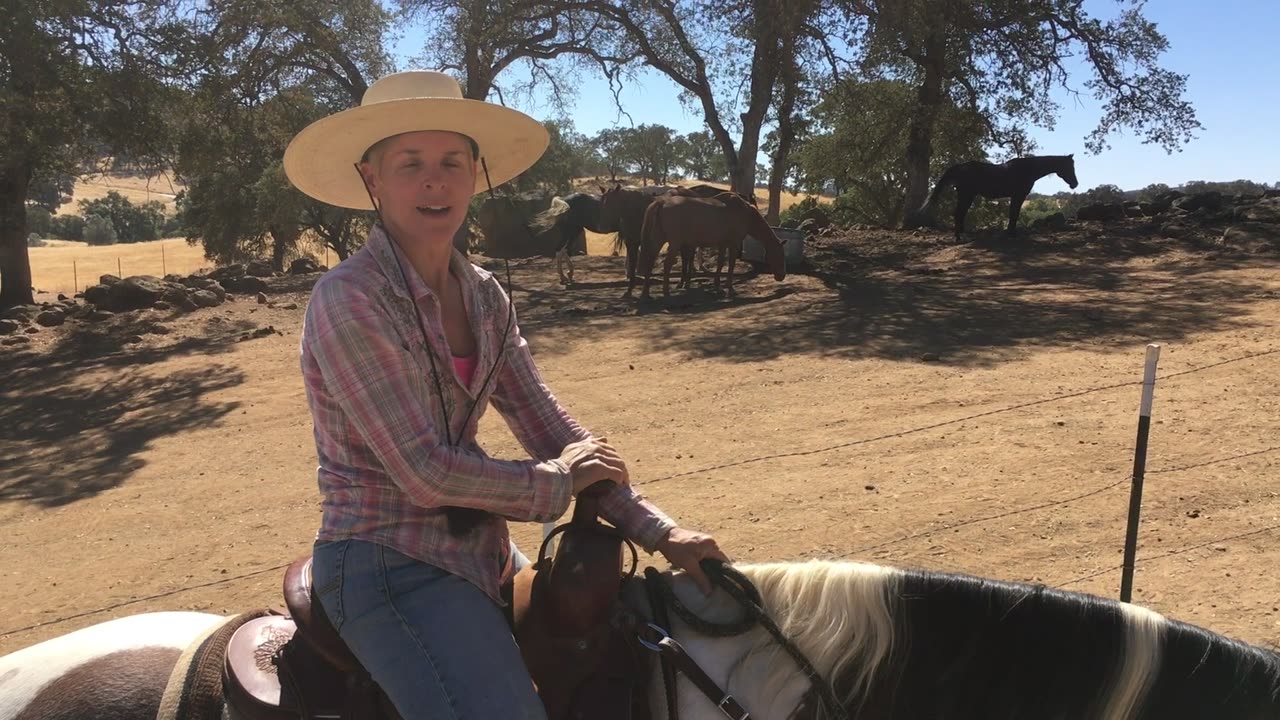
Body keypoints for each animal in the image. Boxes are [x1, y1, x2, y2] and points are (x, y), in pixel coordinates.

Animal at [632, 190, 788, 297]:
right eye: (780, 255)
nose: (781, 276)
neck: (745, 213)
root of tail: (662, 202)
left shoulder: (723, 243)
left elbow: (720, 263)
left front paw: (717, 285)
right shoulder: (734, 243)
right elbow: (730, 264)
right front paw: (730, 288)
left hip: (658, 241)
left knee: (650, 262)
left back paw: (646, 294)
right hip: (675, 244)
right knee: (667, 264)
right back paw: (666, 292)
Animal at [921, 153, 1080, 238]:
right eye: (1069, 167)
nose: (1075, 184)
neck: (1028, 169)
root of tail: (960, 167)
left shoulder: (1016, 196)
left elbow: (1013, 214)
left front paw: (1010, 233)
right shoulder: (1018, 196)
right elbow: (1014, 214)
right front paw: (1011, 234)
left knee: (960, 214)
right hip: (966, 195)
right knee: (958, 213)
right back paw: (959, 237)